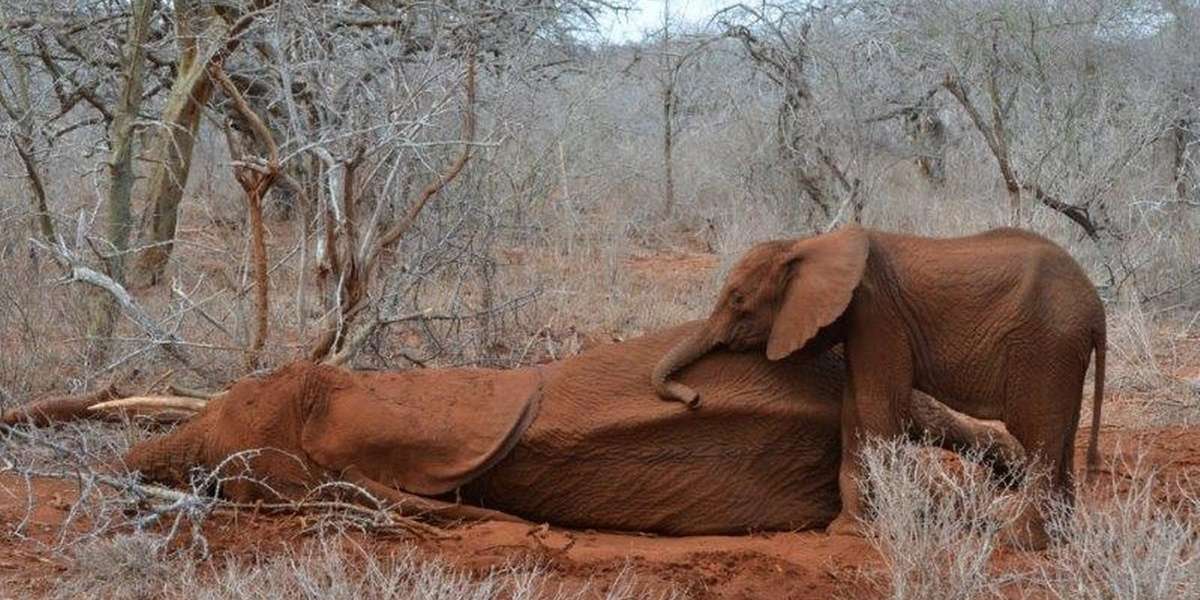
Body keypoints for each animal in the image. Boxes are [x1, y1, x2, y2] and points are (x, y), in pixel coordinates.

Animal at [651, 227, 1105, 545]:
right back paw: (1061, 538)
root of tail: (1096, 307)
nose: (694, 398)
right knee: (1061, 435)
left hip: (1044, 345)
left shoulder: (878, 316)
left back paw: (1020, 542)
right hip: (1061, 352)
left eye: (738, 300)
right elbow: (854, 411)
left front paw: (868, 531)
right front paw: (847, 532)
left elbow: (875, 407)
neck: (808, 242)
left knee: (1039, 434)